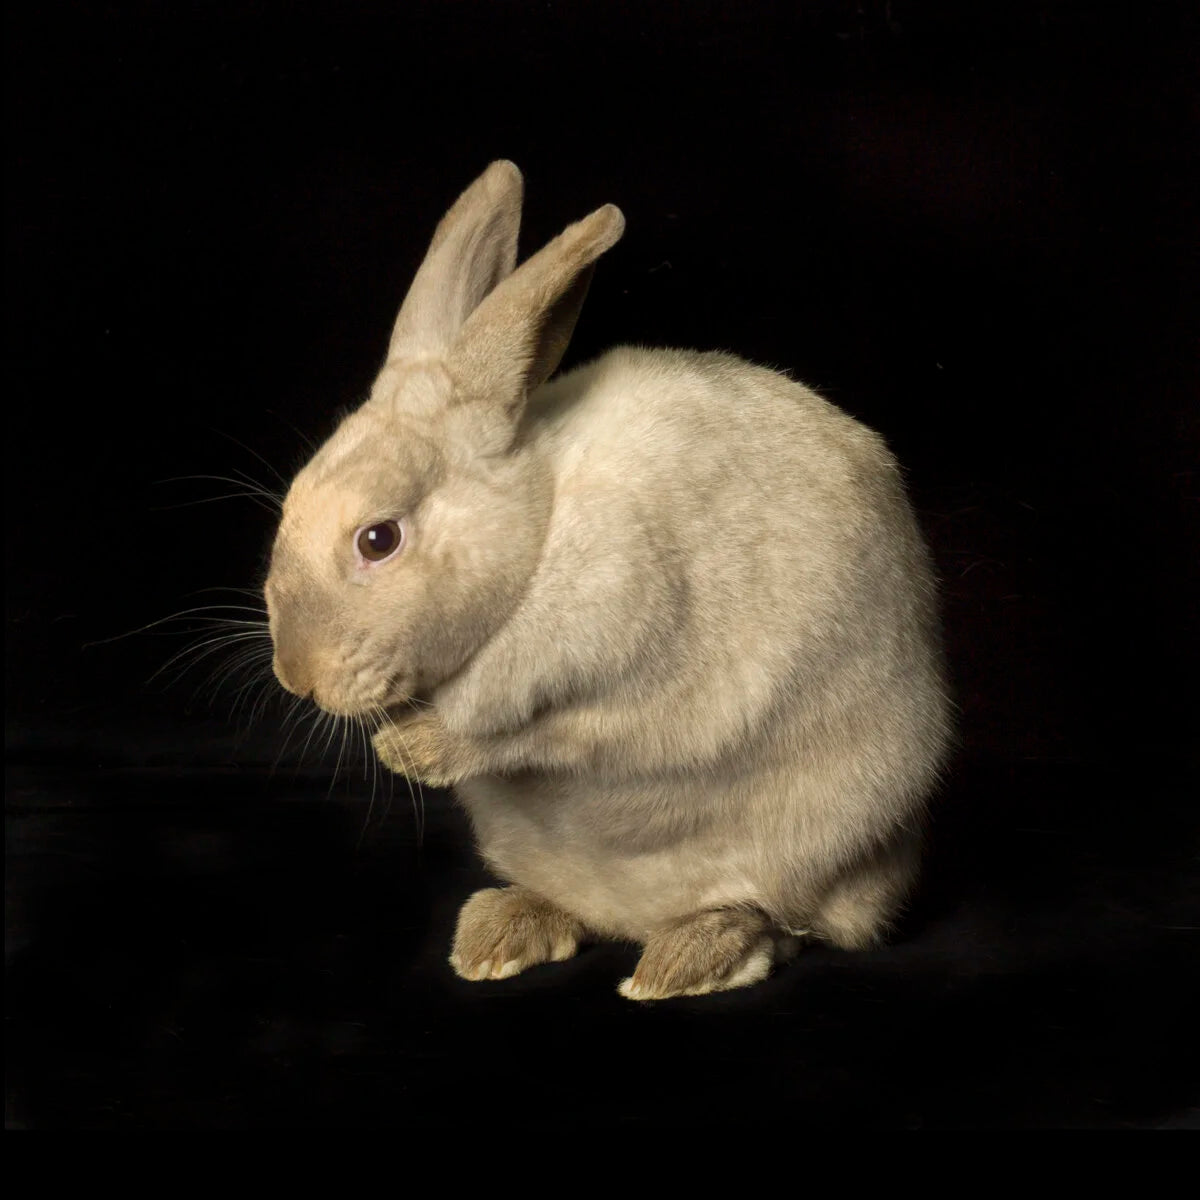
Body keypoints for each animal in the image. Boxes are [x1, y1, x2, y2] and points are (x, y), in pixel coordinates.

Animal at [264, 161, 952, 1000]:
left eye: (379, 539)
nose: (294, 674)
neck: (538, 541)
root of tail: (638, 920)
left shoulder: (636, 673)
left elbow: (552, 733)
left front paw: (416, 752)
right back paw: (503, 933)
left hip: (822, 857)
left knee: (778, 922)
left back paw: (687, 957)